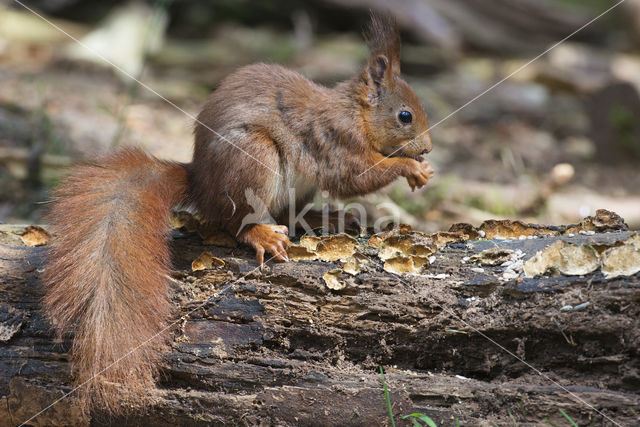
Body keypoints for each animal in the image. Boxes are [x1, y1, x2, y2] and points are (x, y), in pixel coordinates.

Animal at [43, 14, 436, 414]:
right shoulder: (336, 140)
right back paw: (263, 234)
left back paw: (322, 218)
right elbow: (357, 175)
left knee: (289, 213)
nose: (428, 148)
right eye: (405, 115)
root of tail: (202, 184)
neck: (356, 114)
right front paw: (411, 168)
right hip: (253, 161)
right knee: (238, 221)